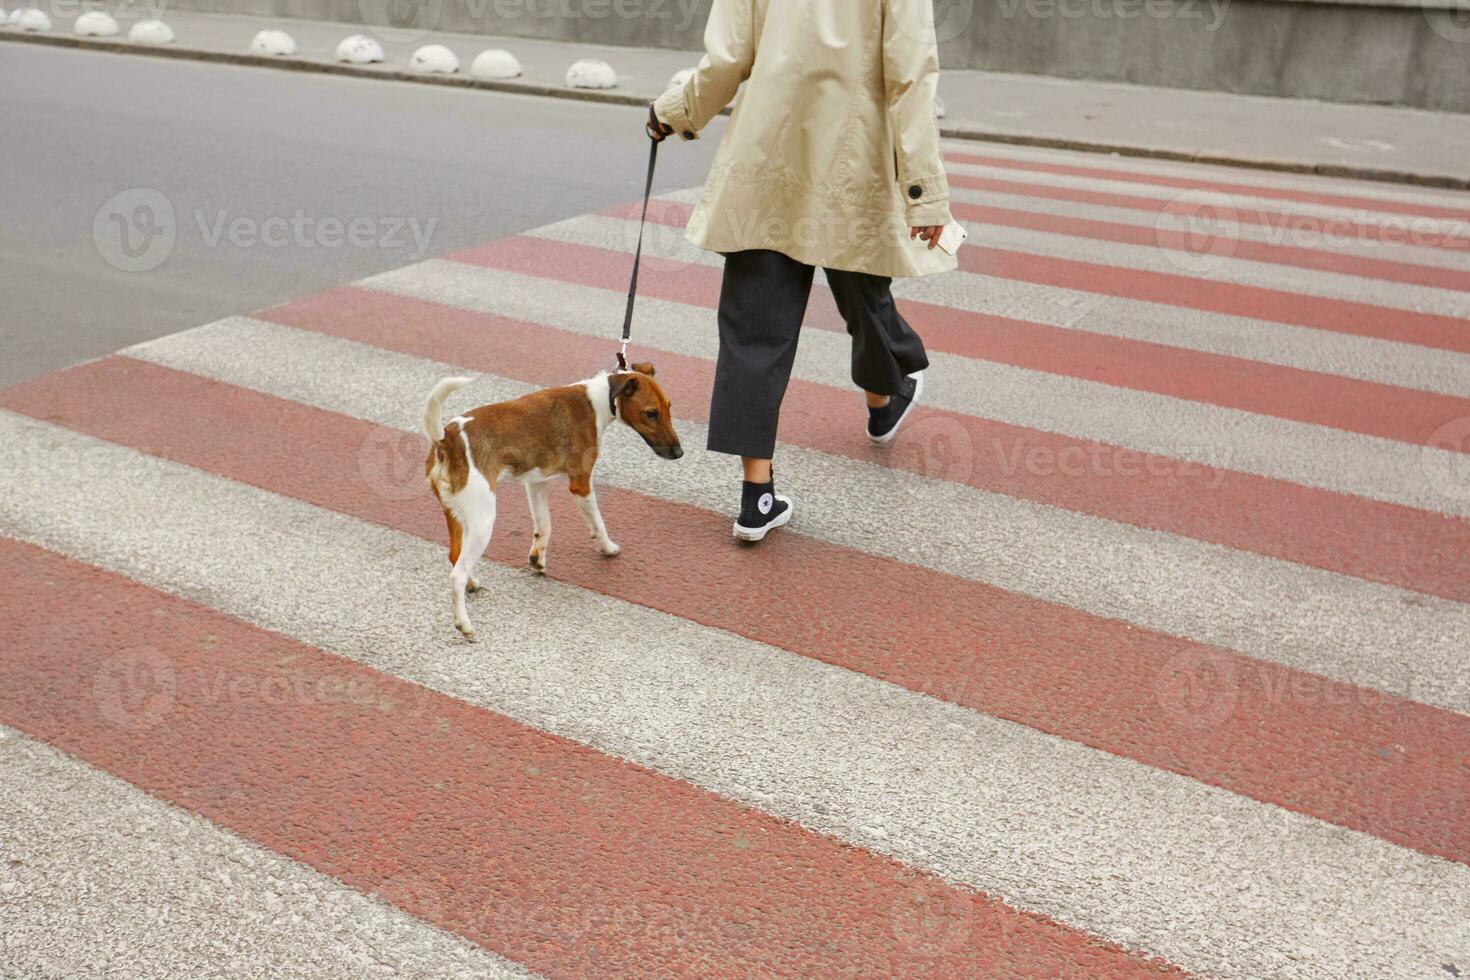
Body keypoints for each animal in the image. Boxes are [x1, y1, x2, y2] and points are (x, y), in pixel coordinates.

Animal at [423, 364, 679, 640]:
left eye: (669, 407)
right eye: (651, 414)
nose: (679, 452)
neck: (597, 400)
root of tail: (447, 440)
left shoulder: (536, 484)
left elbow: (544, 525)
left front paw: (537, 559)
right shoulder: (581, 483)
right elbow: (598, 523)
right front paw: (608, 548)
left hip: (456, 516)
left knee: (455, 555)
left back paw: (472, 584)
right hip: (483, 521)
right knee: (456, 575)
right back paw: (464, 624)